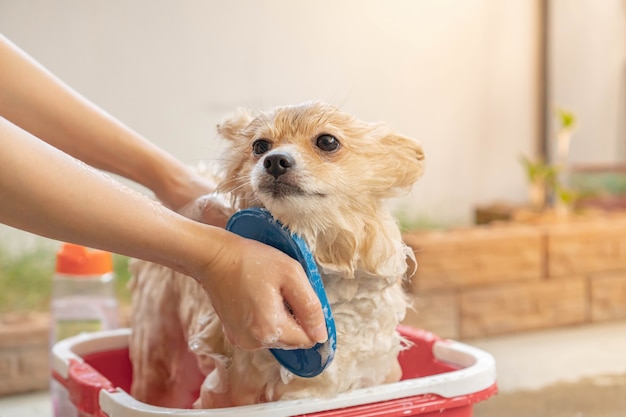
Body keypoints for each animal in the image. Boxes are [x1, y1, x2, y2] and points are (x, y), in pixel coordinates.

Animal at [129, 101, 422, 410]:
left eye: (327, 141)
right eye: (260, 146)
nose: (275, 160)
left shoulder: (378, 375)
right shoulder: (227, 393)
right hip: (156, 345)